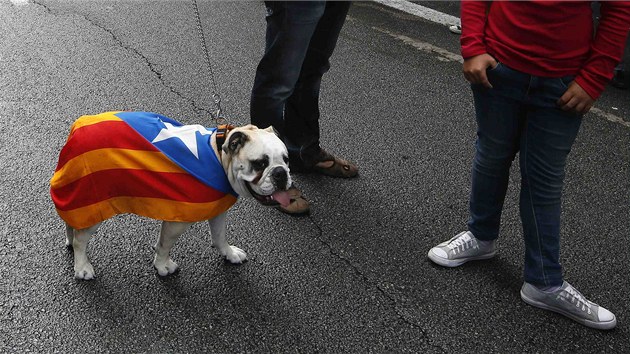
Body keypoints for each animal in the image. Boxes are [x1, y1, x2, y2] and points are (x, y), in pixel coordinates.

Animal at [51, 111, 294, 280]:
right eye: (260, 163)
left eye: (286, 159)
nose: (281, 173)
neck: (219, 156)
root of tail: (77, 128)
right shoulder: (178, 221)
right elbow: (165, 244)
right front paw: (162, 266)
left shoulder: (218, 211)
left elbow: (219, 236)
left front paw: (229, 253)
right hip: (93, 197)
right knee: (82, 238)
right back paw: (82, 266)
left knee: (73, 223)